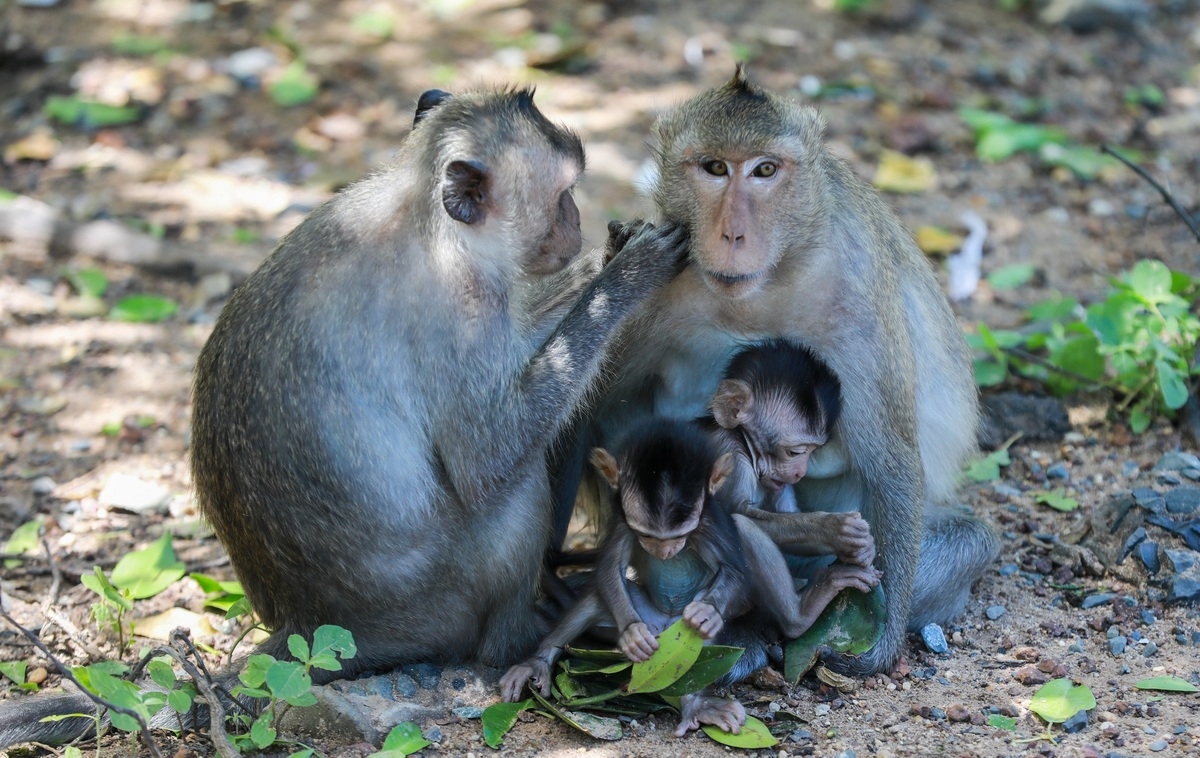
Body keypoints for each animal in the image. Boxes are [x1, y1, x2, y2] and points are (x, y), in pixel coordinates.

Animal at [0, 87, 691, 750]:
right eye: (563, 192)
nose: (576, 222)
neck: (421, 215)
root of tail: (308, 624)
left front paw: (609, 258)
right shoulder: (463, 308)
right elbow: (487, 459)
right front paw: (623, 275)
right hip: (441, 601)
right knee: (509, 491)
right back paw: (519, 639)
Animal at [502, 419, 881, 737]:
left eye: (681, 533)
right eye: (647, 534)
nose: (665, 551)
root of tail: (664, 625)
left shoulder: (710, 521)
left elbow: (734, 566)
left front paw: (708, 612)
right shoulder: (625, 522)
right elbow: (609, 569)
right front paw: (631, 633)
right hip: (647, 619)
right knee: (599, 599)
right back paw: (539, 661)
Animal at [704, 339, 874, 568]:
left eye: (814, 450)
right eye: (795, 452)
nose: (800, 473)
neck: (744, 445)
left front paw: (865, 548)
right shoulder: (728, 452)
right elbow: (730, 514)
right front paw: (832, 529)